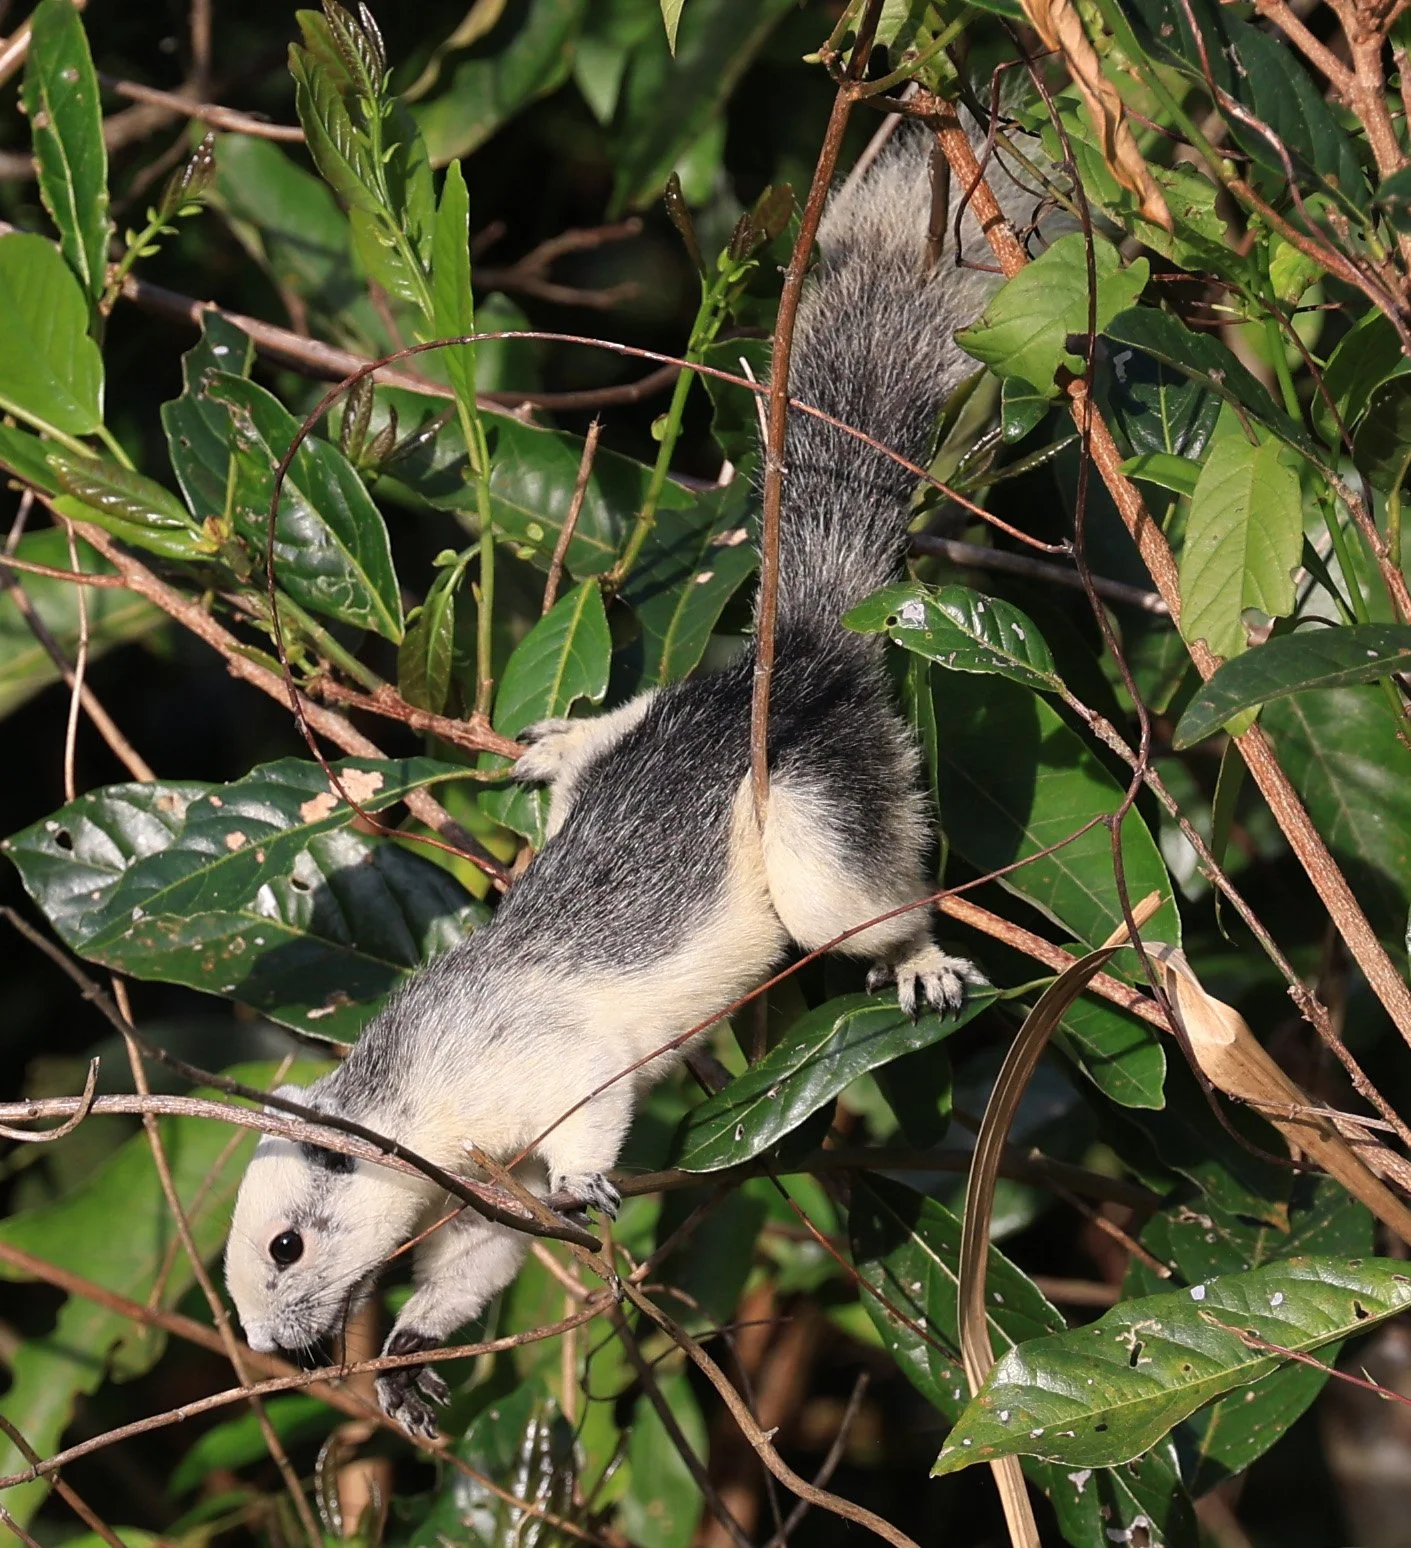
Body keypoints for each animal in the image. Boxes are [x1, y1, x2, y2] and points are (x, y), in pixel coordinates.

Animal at [225, 125, 1023, 1437]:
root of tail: (802, 649)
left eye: (287, 1248)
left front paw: (595, 1183)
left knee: (856, 904)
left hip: (812, 809)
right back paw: (561, 747)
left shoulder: (536, 1065)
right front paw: (410, 1356)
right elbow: (480, 1258)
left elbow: (591, 1109)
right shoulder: (488, 1182)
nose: (276, 1352)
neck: (417, 1101)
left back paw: (919, 964)